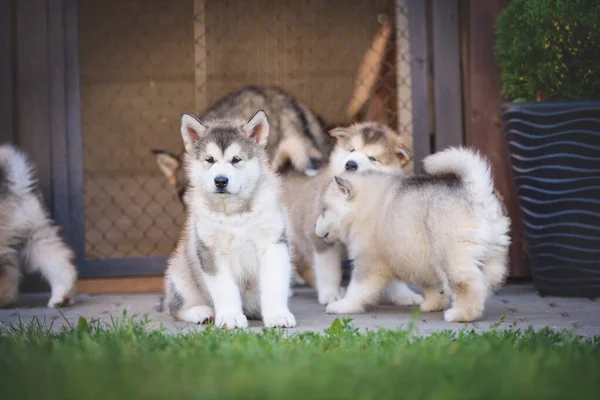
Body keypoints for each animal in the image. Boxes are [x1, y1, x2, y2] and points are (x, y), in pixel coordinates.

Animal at [284, 122, 424, 306]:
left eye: (373, 158)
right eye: (351, 150)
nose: (350, 164)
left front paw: (404, 296)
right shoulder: (322, 240)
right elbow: (328, 271)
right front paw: (331, 295)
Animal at [314, 147, 510, 322]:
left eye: (324, 210)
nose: (315, 226)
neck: (362, 209)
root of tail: (476, 193)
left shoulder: (369, 264)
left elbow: (357, 290)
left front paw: (342, 306)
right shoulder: (419, 260)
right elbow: (432, 287)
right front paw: (432, 304)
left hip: (451, 255)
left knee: (467, 286)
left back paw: (460, 315)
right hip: (492, 255)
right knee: (484, 284)